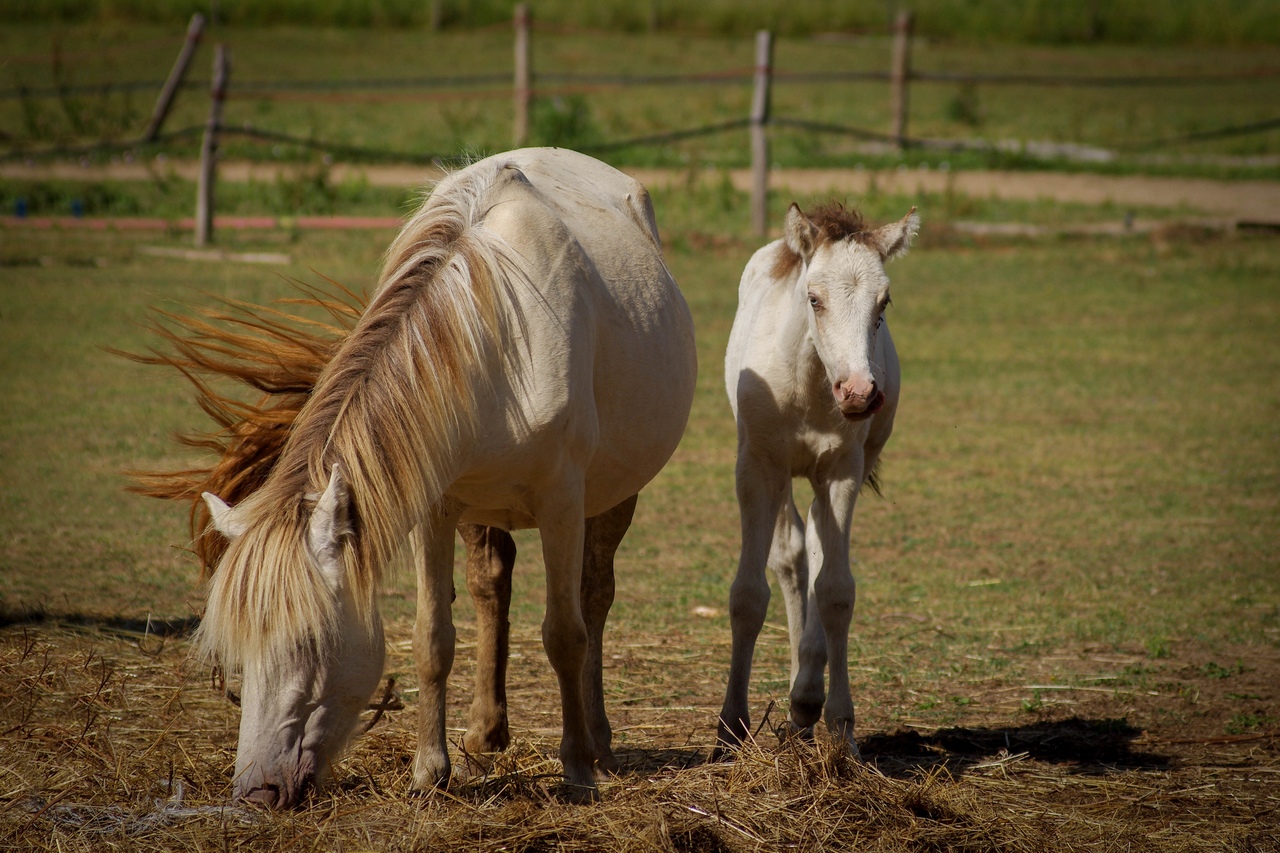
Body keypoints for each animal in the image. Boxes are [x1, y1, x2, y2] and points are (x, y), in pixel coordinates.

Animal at [167, 147, 701, 804]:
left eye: (308, 643)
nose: (255, 791)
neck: (502, 335)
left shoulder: (562, 503)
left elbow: (565, 633)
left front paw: (576, 769)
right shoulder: (435, 506)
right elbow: (432, 638)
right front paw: (431, 769)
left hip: (615, 495)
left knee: (594, 597)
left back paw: (598, 742)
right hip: (482, 509)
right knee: (491, 584)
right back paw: (486, 733)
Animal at [716, 202, 916, 753]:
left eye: (884, 302)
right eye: (814, 299)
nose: (859, 392)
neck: (809, 384)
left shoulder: (843, 472)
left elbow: (836, 592)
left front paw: (841, 726)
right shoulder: (758, 467)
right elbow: (749, 594)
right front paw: (730, 728)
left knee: (816, 552)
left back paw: (805, 698)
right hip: (783, 473)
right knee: (791, 556)